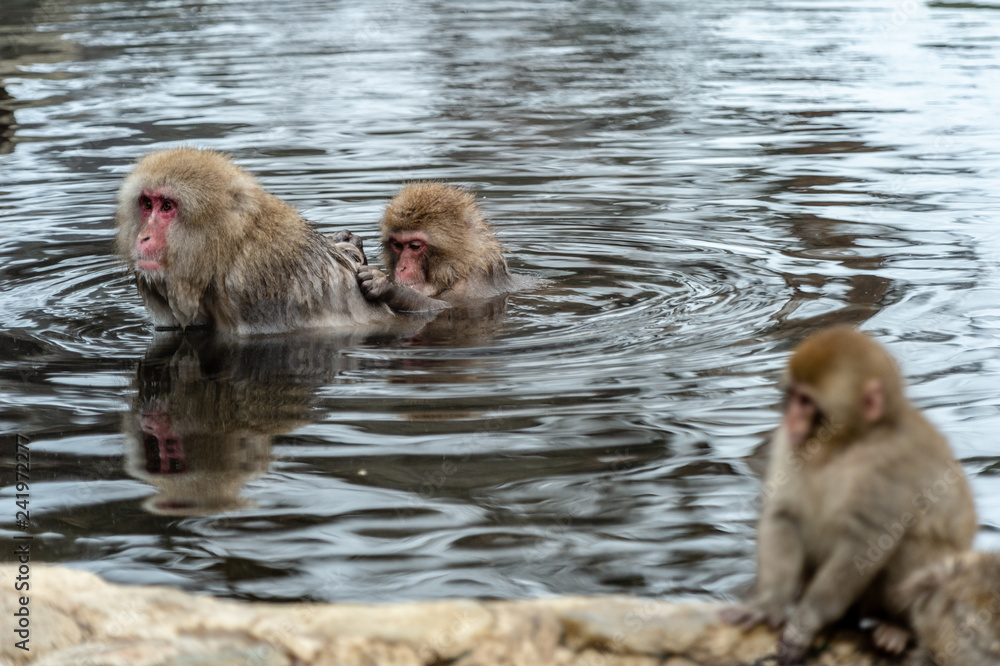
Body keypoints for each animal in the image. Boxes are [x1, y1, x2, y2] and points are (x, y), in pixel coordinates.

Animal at [356, 183, 514, 312]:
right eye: (397, 245)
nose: (401, 268)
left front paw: (388, 286)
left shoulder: (473, 282)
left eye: (415, 246)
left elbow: (446, 306)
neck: (460, 268)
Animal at [720, 326, 977, 665]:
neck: (843, 446)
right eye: (793, 397)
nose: (790, 419)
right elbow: (784, 514)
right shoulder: (789, 444)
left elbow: (865, 539)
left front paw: (805, 623)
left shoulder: (893, 461)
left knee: (911, 546)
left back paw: (897, 627)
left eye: (806, 401)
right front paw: (767, 603)